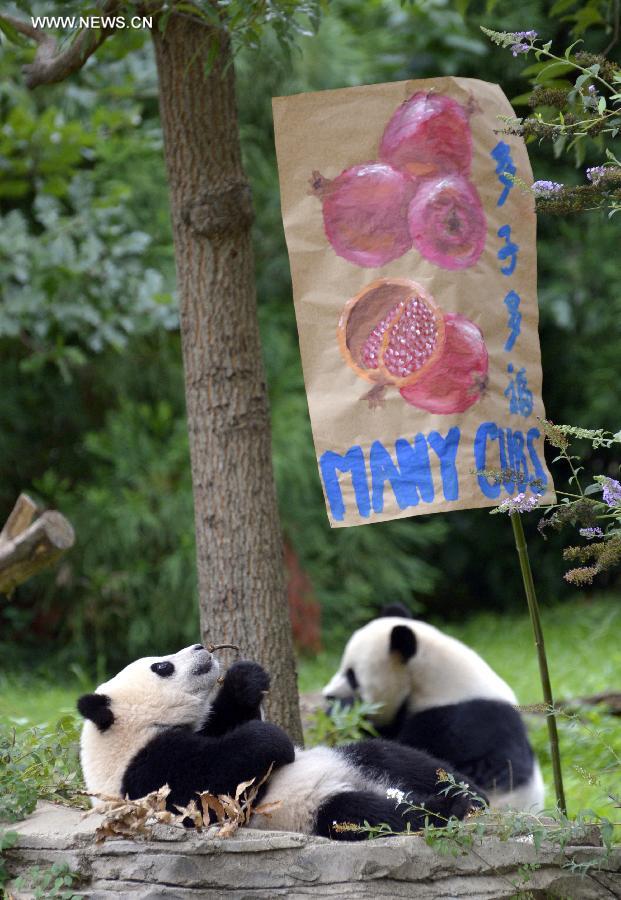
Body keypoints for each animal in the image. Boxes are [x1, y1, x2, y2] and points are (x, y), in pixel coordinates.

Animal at [77, 644, 484, 840]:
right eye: (162, 666)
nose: (200, 648)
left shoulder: (200, 732)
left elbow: (227, 722)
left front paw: (245, 677)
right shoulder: (145, 773)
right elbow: (211, 779)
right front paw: (275, 740)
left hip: (355, 758)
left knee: (396, 758)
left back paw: (469, 795)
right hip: (310, 810)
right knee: (368, 815)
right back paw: (442, 808)